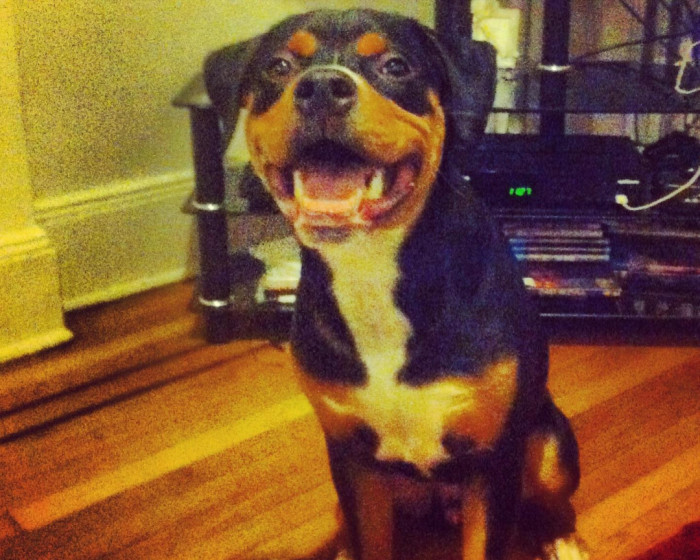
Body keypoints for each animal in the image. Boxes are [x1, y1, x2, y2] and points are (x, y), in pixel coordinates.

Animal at [204, 9, 587, 560]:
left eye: (395, 66)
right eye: (279, 66)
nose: (322, 87)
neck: (372, 268)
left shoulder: (494, 463)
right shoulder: (352, 456)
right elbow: (368, 537)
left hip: (550, 445)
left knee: (555, 498)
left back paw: (562, 539)